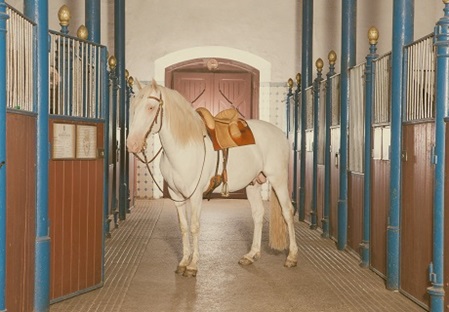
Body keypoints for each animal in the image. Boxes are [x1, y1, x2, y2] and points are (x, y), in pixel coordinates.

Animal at [126, 79, 298, 276]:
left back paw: (292, 257)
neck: (184, 147)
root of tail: (279, 133)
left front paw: (192, 266)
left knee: (287, 212)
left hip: (278, 179)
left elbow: (194, 227)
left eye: (151, 107)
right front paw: (183, 262)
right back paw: (251, 255)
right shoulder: (177, 197)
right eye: (134, 107)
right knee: (258, 214)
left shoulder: (195, 196)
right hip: (252, 184)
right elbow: (183, 227)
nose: (132, 144)